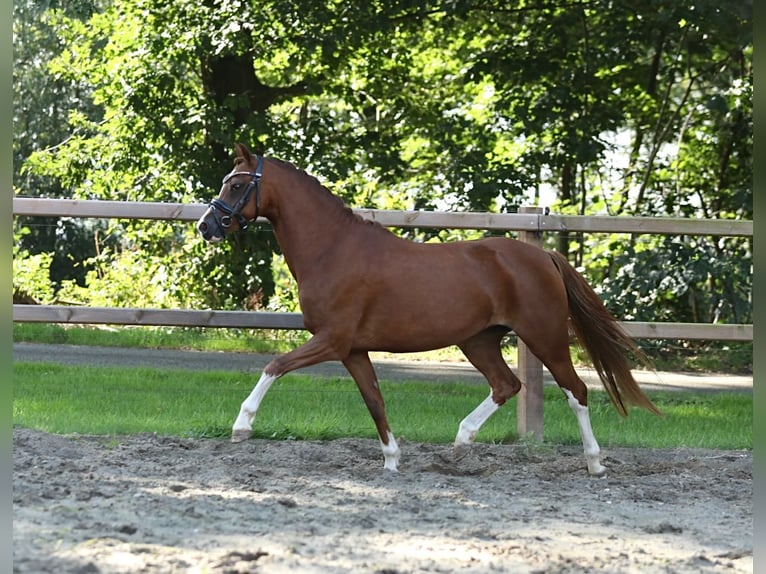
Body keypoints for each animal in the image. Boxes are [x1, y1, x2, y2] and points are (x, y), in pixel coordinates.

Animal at [196, 144, 660, 476]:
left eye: (236, 186)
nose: (206, 226)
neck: (333, 250)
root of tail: (543, 257)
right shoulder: (353, 350)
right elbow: (374, 400)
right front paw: (391, 459)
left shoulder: (332, 340)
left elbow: (274, 366)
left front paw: (242, 426)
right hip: (479, 341)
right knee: (507, 385)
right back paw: (461, 441)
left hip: (543, 336)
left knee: (574, 390)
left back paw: (595, 463)